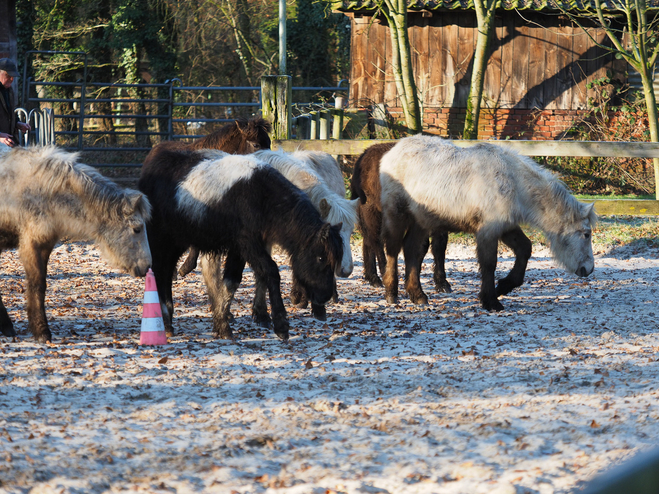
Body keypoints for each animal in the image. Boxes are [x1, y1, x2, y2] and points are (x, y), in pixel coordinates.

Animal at [0, 145, 152, 342]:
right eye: (137, 229)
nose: (147, 266)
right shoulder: (31, 243)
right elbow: (37, 284)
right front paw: (41, 331)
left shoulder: (45, 243)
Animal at [139, 145, 346, 342]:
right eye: (320, 258)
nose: (325, 296)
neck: (262, 197)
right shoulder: (248, 243)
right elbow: (271, 271)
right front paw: (280, 325)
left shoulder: (240, 248)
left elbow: (232, 281)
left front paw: (222, 325)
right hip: (161, 239)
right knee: (161, 271)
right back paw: (165, 321)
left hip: (177, 241)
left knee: (166, 270)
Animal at [350, 141, 454, 292]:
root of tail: (364, 154)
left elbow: (437, 246)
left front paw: (441, 283)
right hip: (371, 210)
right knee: (376, 241)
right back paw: (383, 273)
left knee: (368, 240)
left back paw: (373, 278)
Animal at [376, 134, 600, 312]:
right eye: (586, 234)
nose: (588, 269)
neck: (513, 182)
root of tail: (392, 152)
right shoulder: (488, 231)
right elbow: (489, 263)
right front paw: (491, 301)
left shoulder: (506, 227)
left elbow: (525, 249)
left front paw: (503, 287)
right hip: (397, 215)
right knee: (393, 250)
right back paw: (391, 293)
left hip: (421, 221)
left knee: (411, 250)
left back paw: (418, 295)